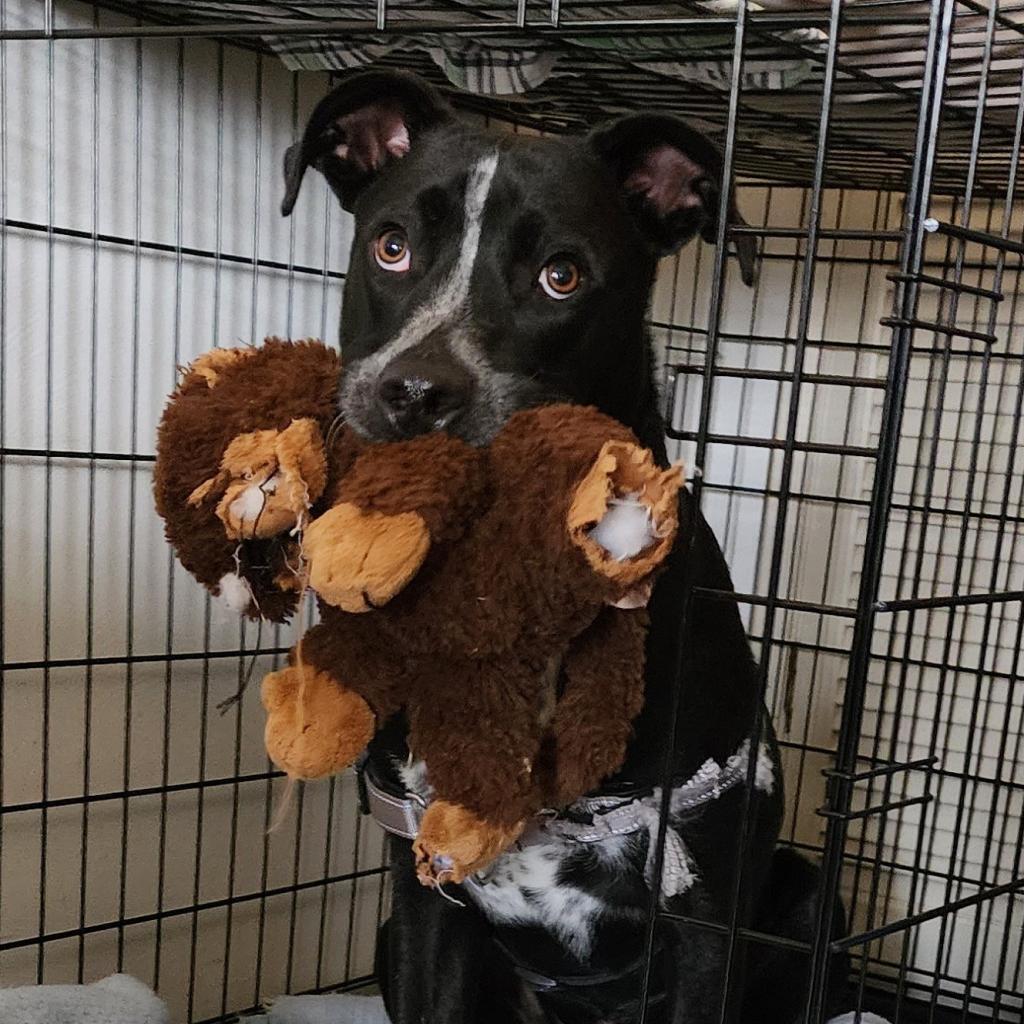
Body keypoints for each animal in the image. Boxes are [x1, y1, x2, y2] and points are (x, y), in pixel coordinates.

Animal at [282, 68, 847, 1019]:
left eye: (562, 276)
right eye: (391, 248)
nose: (415, 392)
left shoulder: (706, 907)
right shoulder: (421, 893)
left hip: (810, 904)